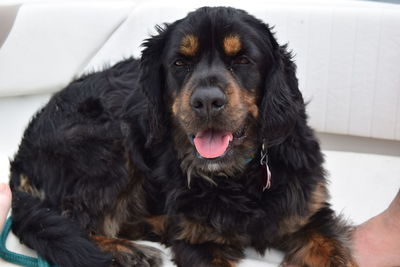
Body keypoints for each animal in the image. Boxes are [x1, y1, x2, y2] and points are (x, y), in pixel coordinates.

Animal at [10, 6, 356, 267]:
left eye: (243, 60)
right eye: (180, 63)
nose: (207, 101)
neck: (238, 177)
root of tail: (23, 154)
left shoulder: (310, 215)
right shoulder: (196, 240)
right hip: (107, 143)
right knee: (73, 221)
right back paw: (125, 251)